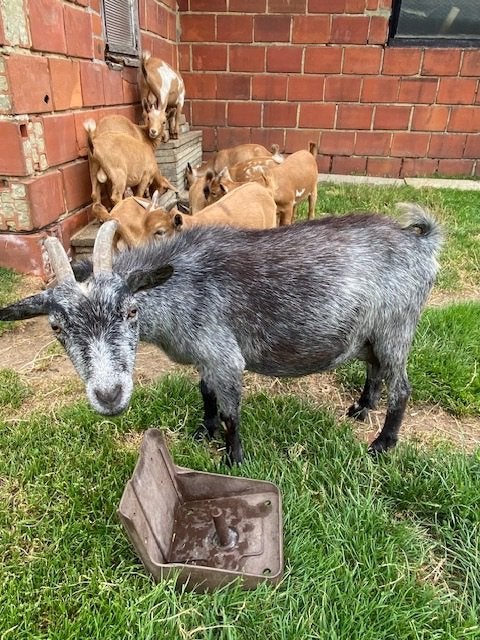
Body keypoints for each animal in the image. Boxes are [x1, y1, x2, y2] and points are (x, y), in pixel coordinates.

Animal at [0, 204, 442, 466]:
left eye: (131, 310)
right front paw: (203, 431)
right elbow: (206, 393)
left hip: (396, 327)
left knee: (402, 386)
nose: (109, 395)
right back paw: (362, 407)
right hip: (368, 334)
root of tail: (421, 242)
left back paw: (383, 443)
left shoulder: (224, 357)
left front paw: (232, 457)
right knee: (375, 369)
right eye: (56, 327)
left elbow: (231, 411)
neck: (181, 285)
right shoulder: (204, 357)